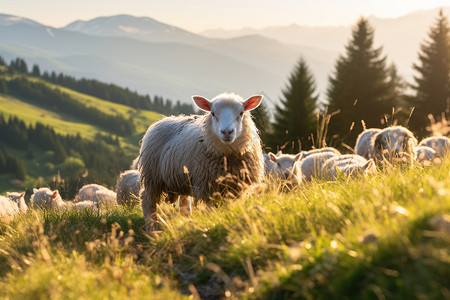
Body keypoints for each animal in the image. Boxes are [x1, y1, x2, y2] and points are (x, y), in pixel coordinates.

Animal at [139, 92, 266, 231]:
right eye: (213, 113)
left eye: (241, 113)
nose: (227, 132)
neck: (227, 157)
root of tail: (162, 120)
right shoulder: (208, 187)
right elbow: (212, 209)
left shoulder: (236, 188)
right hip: (152, 177)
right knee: (147, 200)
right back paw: (152, 228)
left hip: (181, 178)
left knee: (184, 202)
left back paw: (184, 219)